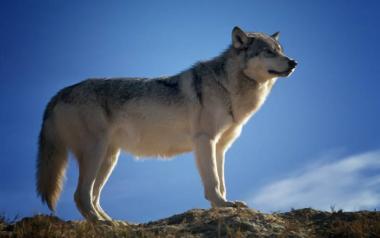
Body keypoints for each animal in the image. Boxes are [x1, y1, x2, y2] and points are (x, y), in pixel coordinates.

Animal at [35, 26, 296, 221]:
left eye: (281, 51)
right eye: (269, 52)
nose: (294, 62)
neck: (227, 87)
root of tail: (59, 93)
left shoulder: (220, 147)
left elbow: (222, 182)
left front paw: (222, 206)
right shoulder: (205, 141)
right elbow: (212, 182)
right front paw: (222, 205)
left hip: (109, 159)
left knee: (93, 196)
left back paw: (115, 223)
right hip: (95, 154)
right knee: (80, 196)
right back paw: (102, 224)